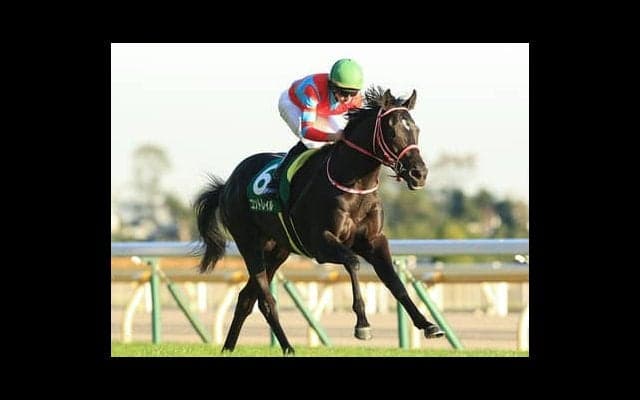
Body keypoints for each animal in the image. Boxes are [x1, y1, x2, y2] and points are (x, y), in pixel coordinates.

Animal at [194, 86, 444, 355]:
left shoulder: (374, 241)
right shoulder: (320, 244)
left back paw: (229, 348)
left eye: (416, 130)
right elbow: (353, 262)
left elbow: (394, 281)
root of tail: (227, 184)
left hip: (277, 250)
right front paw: (362, 324)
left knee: (246, 298)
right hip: (249, 243)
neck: (353, 184)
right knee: (266, 300)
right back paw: (288, 347)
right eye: (392, 131)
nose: (419, 174)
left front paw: (428, 324)